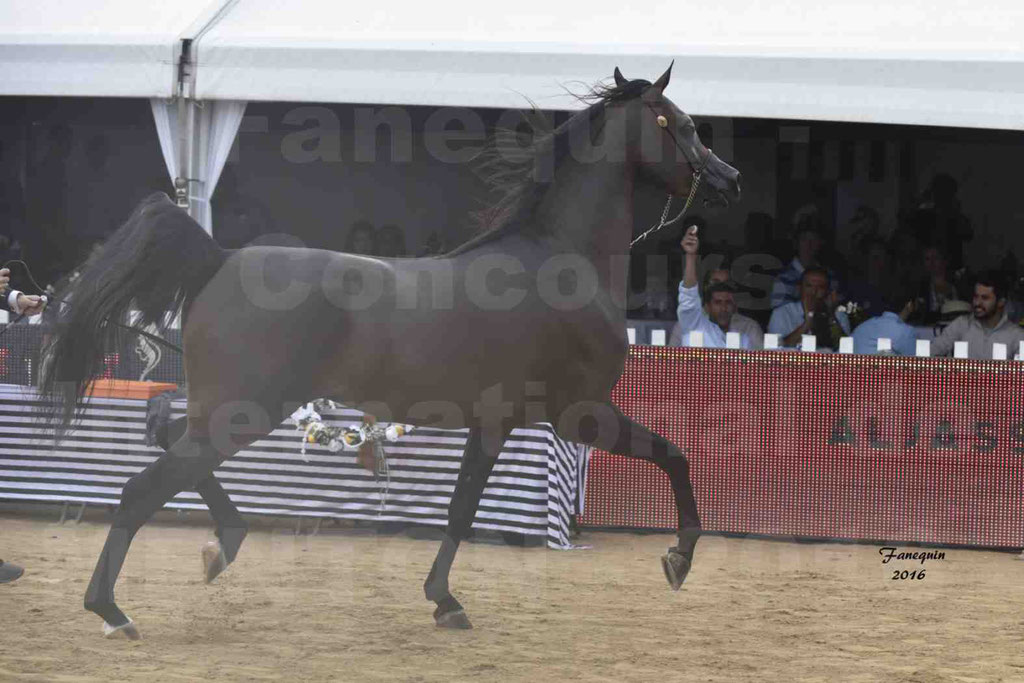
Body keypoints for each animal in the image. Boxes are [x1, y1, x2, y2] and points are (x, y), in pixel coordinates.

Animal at [44, 63, 741, 634]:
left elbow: (460, 510)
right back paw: (113, 609)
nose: (729, 179)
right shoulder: (580, 413)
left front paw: (444, 601)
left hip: (223, 406)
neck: (560, 263)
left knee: (164, 431)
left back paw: (223, 544)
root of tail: (218, 258)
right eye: (680, 124)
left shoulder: (494, 423)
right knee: (143, 487)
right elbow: (675, 455)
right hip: (247, 410)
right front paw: (678, 558)